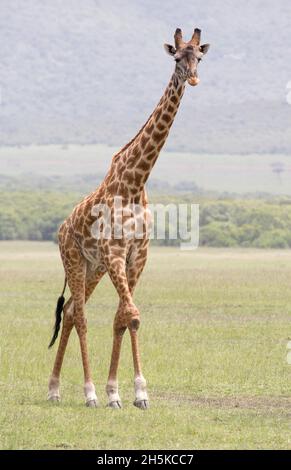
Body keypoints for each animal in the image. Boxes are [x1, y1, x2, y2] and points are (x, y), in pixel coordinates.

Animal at [48, 28, 210, 408]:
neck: (136, 181)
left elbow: (125, 318)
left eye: (200, 56)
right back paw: (82, 392)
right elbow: (132, 314)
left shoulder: (138, 256)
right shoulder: (116, 253)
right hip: (74, 260)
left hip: (92, 268)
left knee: (72, 312)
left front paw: (125, 393)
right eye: (177, 57)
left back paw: (57, 389)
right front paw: (117, 392)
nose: (194, 78)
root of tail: (61, 229)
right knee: (80, 316)